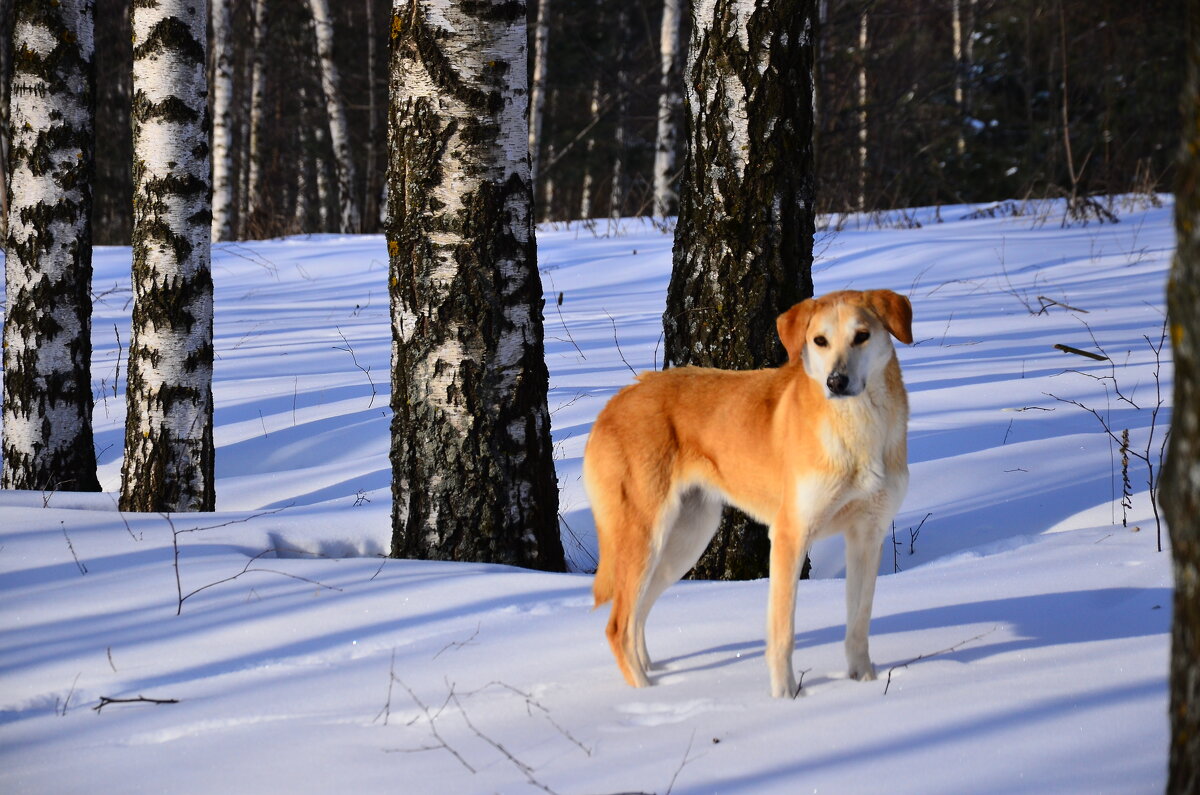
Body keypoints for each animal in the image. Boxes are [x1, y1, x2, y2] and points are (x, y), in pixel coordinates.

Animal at [585, 288, 912, 696]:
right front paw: (786, 697)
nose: (836, 381)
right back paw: (647, 693)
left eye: (862, 336)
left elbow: (858, 625)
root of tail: (614, 402)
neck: (858, 429)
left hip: (684, 542)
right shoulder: (790, 535)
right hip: (645, 536)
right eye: (819, 341)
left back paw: (654, 676)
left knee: (637, 616)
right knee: (618, 626)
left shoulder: (867, 536)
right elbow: (783, 630)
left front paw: (864, 684)